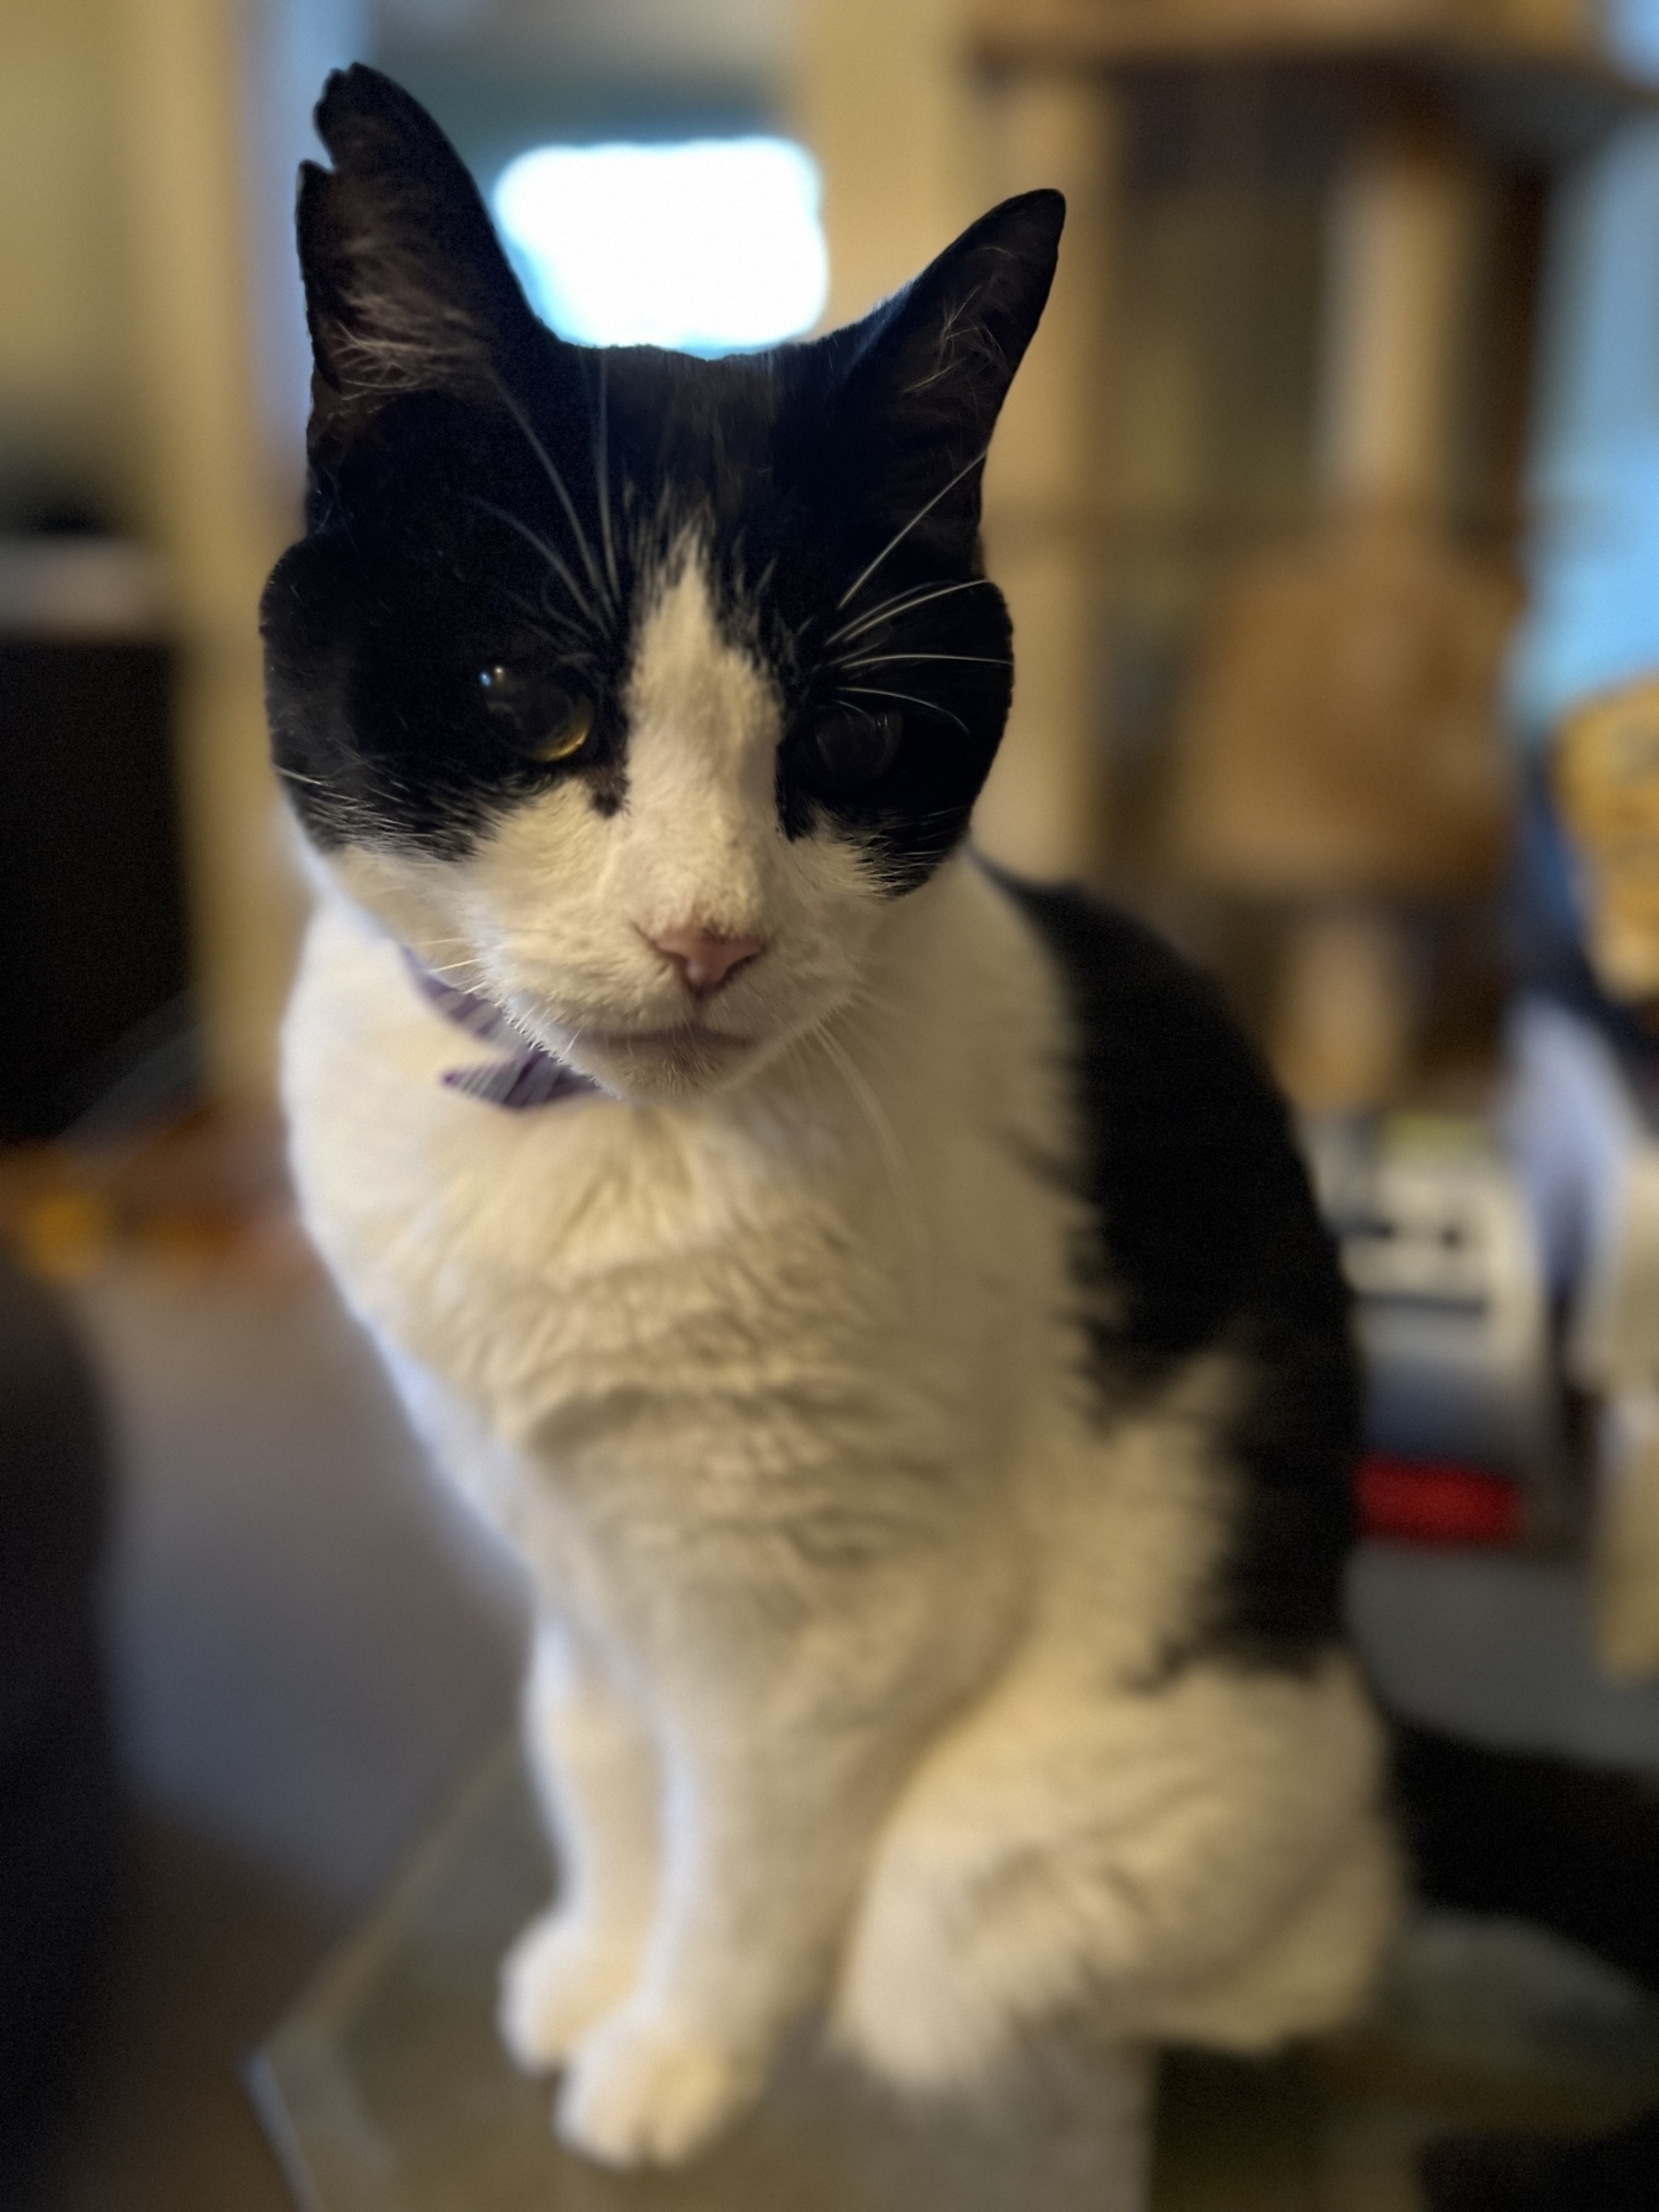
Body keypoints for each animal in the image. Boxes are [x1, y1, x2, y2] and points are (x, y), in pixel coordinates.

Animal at [263, 69, 1406, 2176]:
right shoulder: (564, 1549)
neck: (574, 1155)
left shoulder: (840, 1634)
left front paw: (674, 2054)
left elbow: (750, 1855)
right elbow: (597, 1751)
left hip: (1058, 1852)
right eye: (528, 700)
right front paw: (592, 1961)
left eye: (855, 741)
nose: (705, 933)